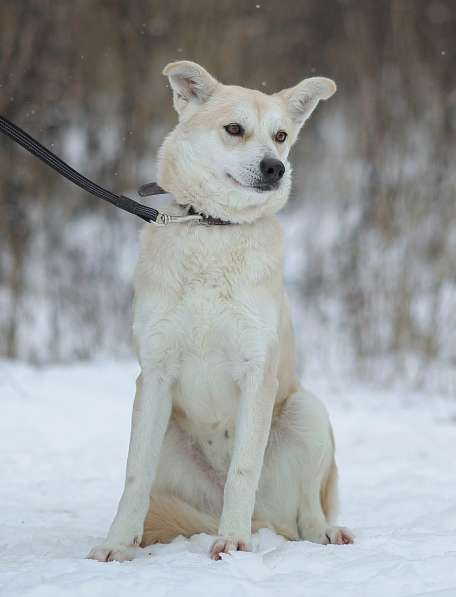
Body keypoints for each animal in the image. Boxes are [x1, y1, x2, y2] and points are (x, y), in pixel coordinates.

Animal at [88, 60, 352, 564]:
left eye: (281, 135)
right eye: (234, 129)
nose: (275, 167)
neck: (214, 230)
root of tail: (268, 521)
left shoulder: (257, 371)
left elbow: (243, 471)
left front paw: (232, 543)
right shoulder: (154, 375)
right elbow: (134, 476)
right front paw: (117, 544)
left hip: (306, 412)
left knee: (308, 511)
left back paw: (321, 533)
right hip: (169, 437)